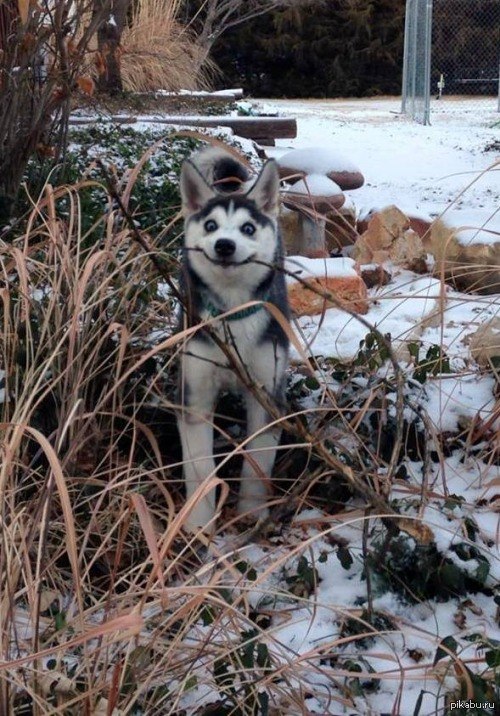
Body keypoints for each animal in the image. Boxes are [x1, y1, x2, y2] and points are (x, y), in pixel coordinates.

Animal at [179, 150, 290, 532]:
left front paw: (251, 513)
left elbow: (258, 461)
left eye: (248, 228)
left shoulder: (267, 393)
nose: (224, 245)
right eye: (211, 226)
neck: (232, 314)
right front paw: (198, 524)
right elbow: (200, 467)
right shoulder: (195, 395)